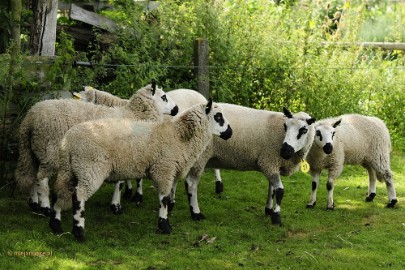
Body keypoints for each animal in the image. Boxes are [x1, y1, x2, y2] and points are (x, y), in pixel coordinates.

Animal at [14, 82, 178, 215]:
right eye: (163, 97)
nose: (176, 109)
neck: (133, 114)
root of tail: (31, 117)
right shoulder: (121, 153)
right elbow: (120, 183)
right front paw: (116, 206)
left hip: (32, 150)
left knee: (31, 174)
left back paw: (34, 203)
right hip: (50, 150)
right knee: (41, 178)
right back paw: (45, 207)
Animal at [49, 99, 234, 240]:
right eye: (218, 116)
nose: (230, 133)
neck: (180, 136)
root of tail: (68, 141)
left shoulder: (172, 170)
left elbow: (170, 196)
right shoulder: (163, 169)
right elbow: (164, 199)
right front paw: (164, 225)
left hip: (69, 170)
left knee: (59, 192)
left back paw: (56, 225)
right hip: (90, 168)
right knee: (78, 197)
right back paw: (79, 231)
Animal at [177, 106, 316, 225]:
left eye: (304, 130)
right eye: (285, 126)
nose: (284, 151)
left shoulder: (272, 164)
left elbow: (272, 189)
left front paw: (269, 210)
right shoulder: (269, 161)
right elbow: (280, 191)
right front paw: (276, 218)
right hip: (200, 156)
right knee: (191, 184)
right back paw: (196, 214)